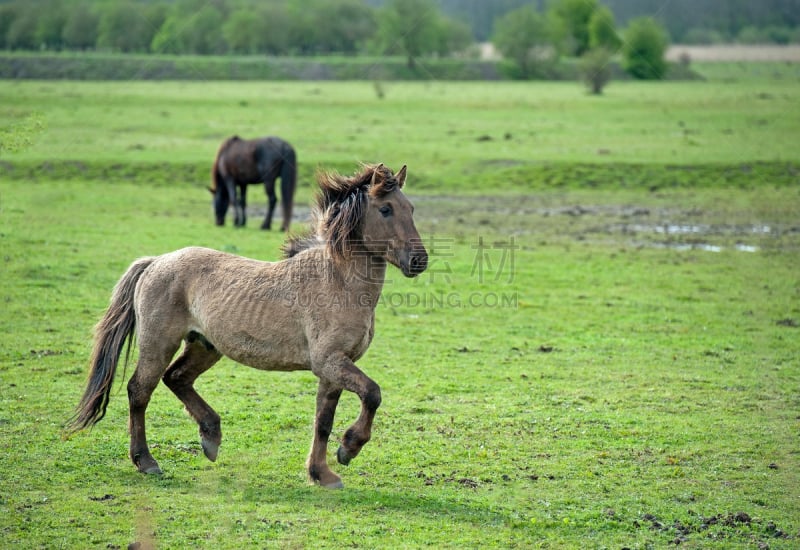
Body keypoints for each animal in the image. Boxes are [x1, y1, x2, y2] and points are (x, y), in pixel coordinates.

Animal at [66, 164, 428, 492]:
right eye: (385, 209)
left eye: (411, 208)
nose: (419, 260)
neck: (336, 281)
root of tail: (155, 262)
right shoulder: (329, 362)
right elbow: (373, 393)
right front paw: (349, 448)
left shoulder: (334, 369)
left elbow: (323, 421)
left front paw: (322, 474)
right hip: (159, 344)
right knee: (140, 391)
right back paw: (147, 461)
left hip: (204, 346)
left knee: (177, 378)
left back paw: (211, 437)